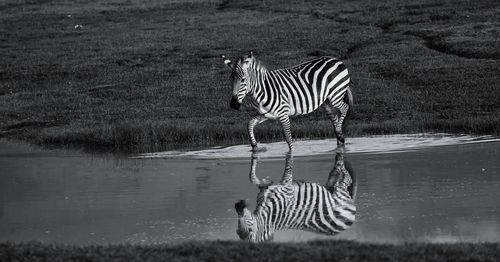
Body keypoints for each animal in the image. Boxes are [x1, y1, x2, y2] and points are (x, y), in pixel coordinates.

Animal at [221, 52, 354, 151]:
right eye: (230, 79)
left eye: (243, 80)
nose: (233, 104)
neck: (262, 89)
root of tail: (335, 59)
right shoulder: (266, 114)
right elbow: (250, 124)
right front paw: (254, 146)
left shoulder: (283, 114)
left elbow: (288, 139)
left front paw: (291, 155)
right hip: (326, 101)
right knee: (334, 118)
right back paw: (339, 138)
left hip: (335, 95)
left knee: (345, 108)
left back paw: (339, 134)